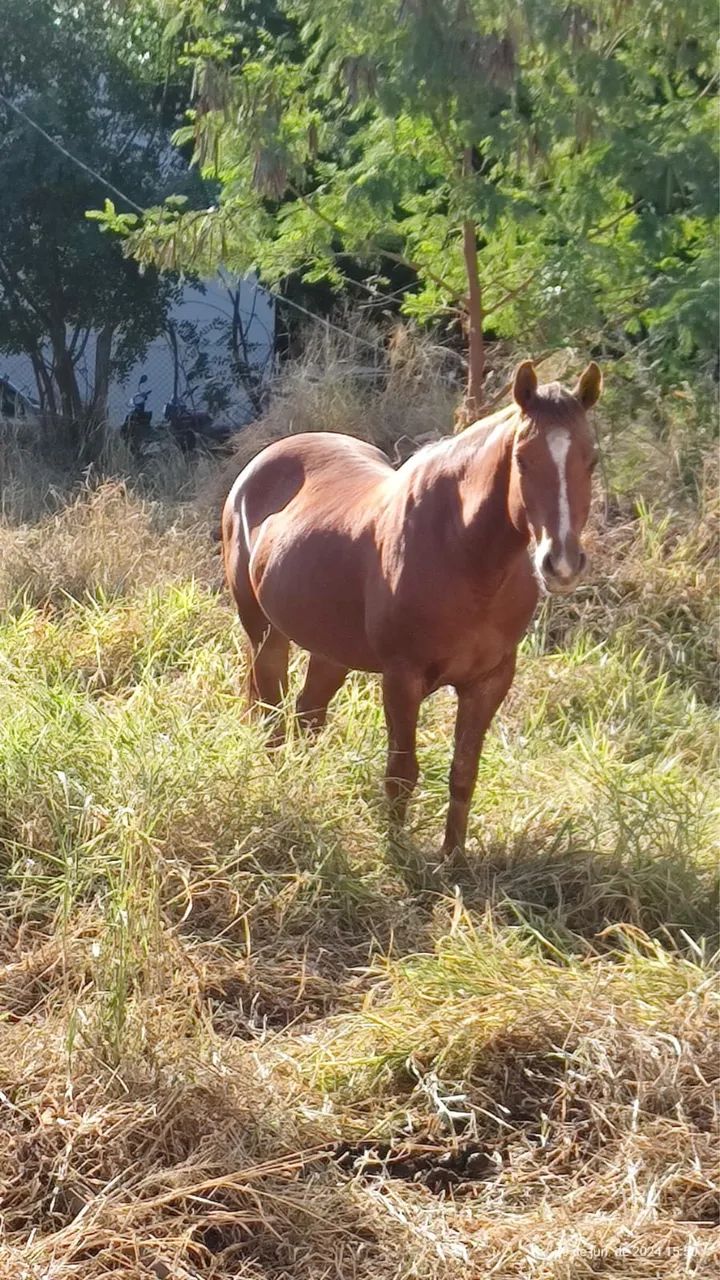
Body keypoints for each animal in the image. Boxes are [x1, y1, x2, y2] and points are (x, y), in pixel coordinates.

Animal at [221, 359, 602, 857]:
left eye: (592, 460)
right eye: (522, 459)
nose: (561, 563)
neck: (463, 552)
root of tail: (259, 467)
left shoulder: (489, 682)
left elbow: (464, 774)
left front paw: (453, 859)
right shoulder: (403, 679)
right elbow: (401, 774)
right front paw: (397, 856)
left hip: (331, 652)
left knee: (307, 717)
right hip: (265, 634)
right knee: (272, 717)